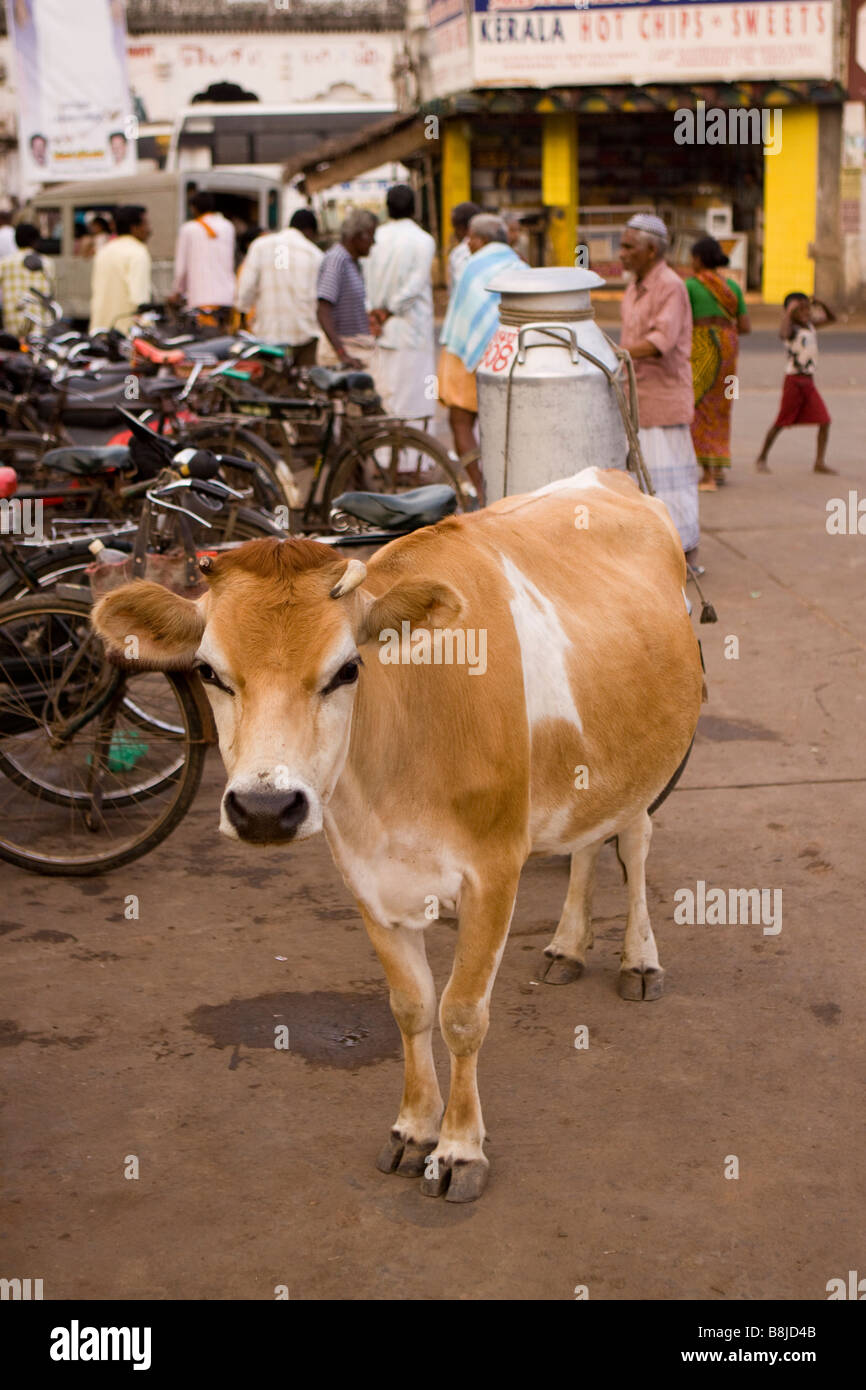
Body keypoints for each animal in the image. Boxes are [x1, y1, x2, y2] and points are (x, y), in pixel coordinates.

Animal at [93, 469, 706, 1206]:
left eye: (347, 669)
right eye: (210, 672)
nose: (265, 808)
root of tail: (610, 477)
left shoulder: (494, 870)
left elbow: (462, 1014)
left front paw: (461, 1150)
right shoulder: (365, 872)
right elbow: (411, 1007)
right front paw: (414, 1130)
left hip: (647, 761)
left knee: (632, 846)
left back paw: (639, 960)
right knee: (586, 843)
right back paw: (566, 945)